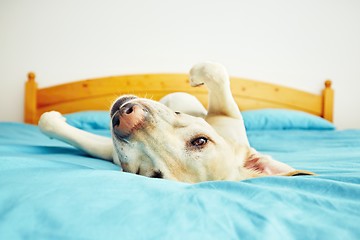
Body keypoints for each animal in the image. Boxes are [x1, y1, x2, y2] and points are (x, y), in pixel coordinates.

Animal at [39, 62, 314, 182]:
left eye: (149, 174)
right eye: (200, 141)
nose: (127, 118)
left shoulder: (114, 152)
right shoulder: (227, 117)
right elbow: (216, 71)